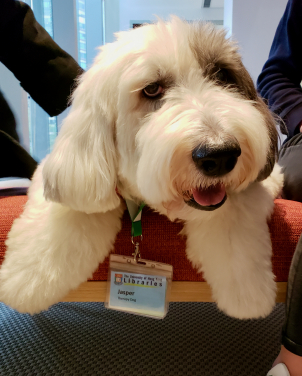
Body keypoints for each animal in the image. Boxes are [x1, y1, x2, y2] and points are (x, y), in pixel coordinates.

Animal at [0, 16, 284, 318]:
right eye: (151, 89)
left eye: (221, 75)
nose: (219, 155)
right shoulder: (73, 171)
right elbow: (76, 208)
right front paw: (30, 277)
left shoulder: (253, 187)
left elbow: (231, 215)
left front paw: (247, 290)